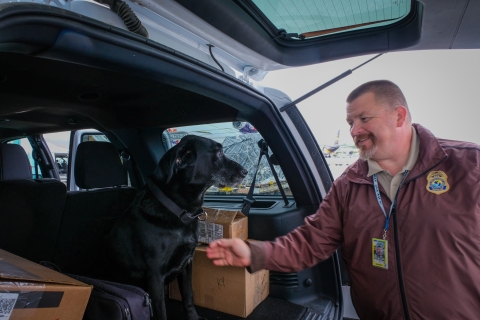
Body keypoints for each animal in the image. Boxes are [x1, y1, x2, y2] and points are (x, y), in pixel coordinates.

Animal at [106, 136, 246, 320]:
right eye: (219, 152)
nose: (246, 171)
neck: (177, 210)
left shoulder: (186, 263)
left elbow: (188, 295)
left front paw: (193, 317)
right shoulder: (155, 275)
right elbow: (161, 311)